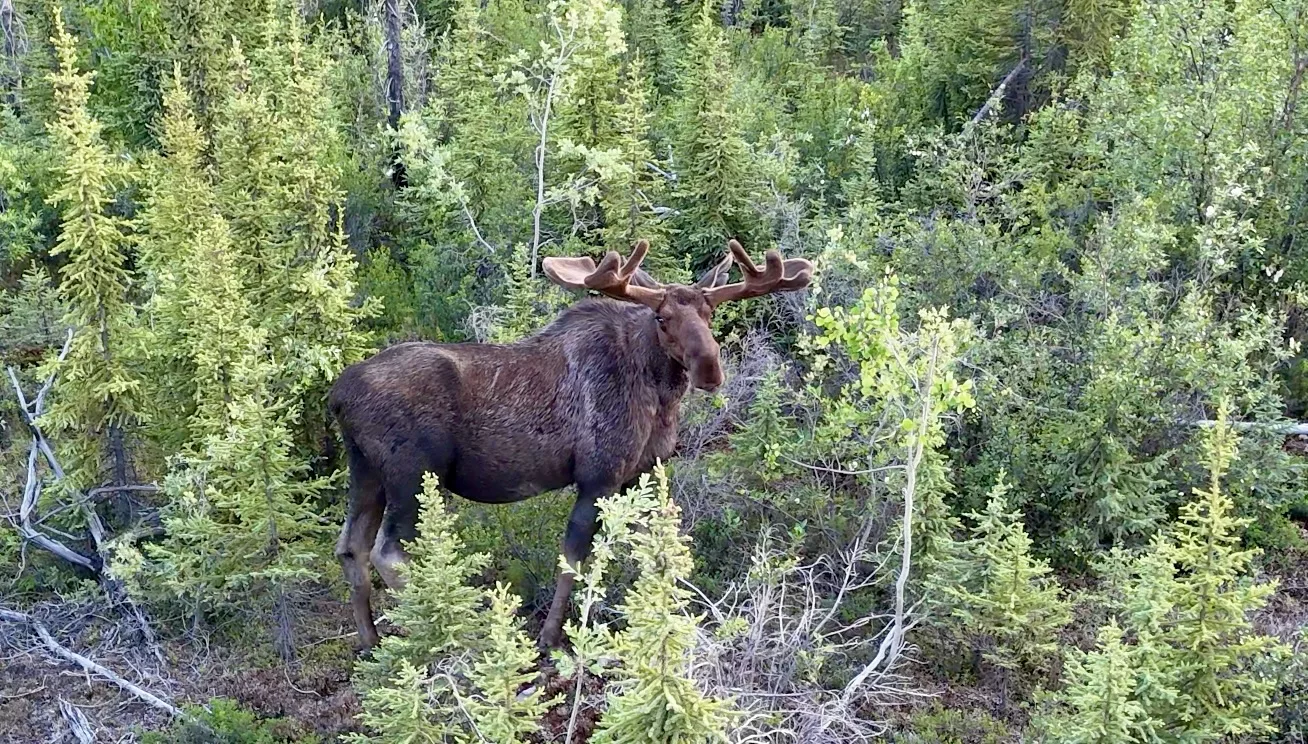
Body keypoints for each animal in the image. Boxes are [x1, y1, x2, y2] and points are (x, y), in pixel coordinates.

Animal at [327, 237, 810, 643]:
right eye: (662, 318)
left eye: (710, 314)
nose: (709, 368)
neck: (659, 396)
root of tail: (337, 396)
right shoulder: (598, 475)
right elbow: (574, 560)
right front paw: (552, 638)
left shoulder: (638, 475)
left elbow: (642, 551)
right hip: (411, 472)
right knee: (388, 552)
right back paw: (453, 637)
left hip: (365, 469)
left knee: (351, 547)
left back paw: (371, 644)